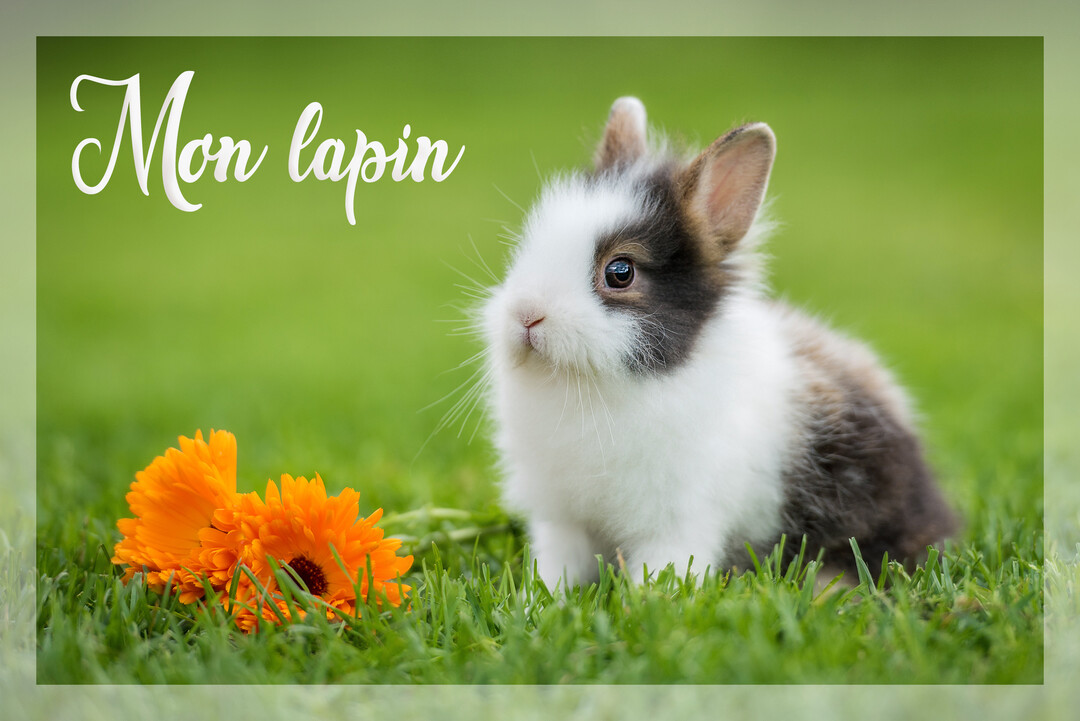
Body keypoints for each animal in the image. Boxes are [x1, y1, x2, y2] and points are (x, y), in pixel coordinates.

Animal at [480, 96, 957, 588]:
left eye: (620, 272)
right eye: (526, 247)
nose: (526, 314)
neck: (585, 389)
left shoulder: (677, 523)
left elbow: (663, 570)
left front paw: (647, 601)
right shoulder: (561, 522)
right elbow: (556, 569)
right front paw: (540, 598)